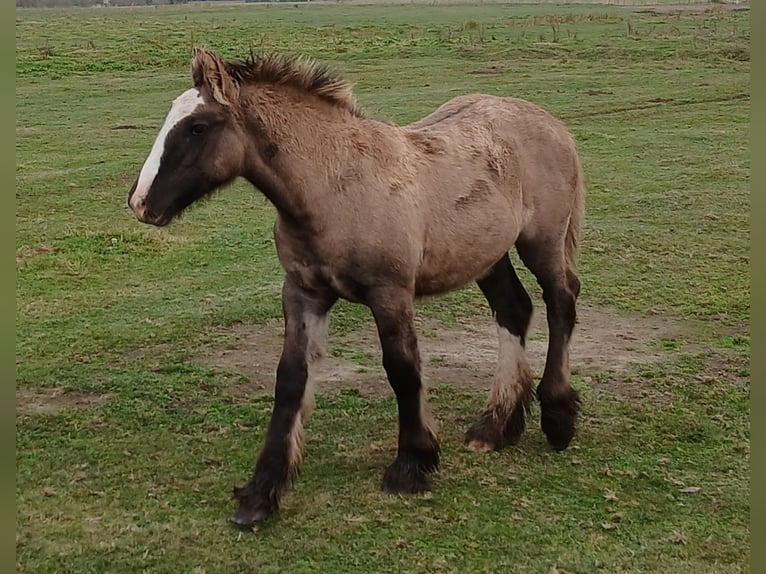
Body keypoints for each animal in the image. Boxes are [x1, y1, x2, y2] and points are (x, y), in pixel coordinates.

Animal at [127, 49, 588, 532]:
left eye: (197, 127)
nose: (140, 202)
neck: (335, 188)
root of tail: (550, 121)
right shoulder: (303, 293)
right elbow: (290, 379)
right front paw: (260, 493)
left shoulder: (391, 294)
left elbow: (402, 370)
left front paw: (412, 465)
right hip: (486, 253)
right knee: (513, 310)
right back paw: (496, 427)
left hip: (542, 242)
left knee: (562, 302)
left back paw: (558, 417)